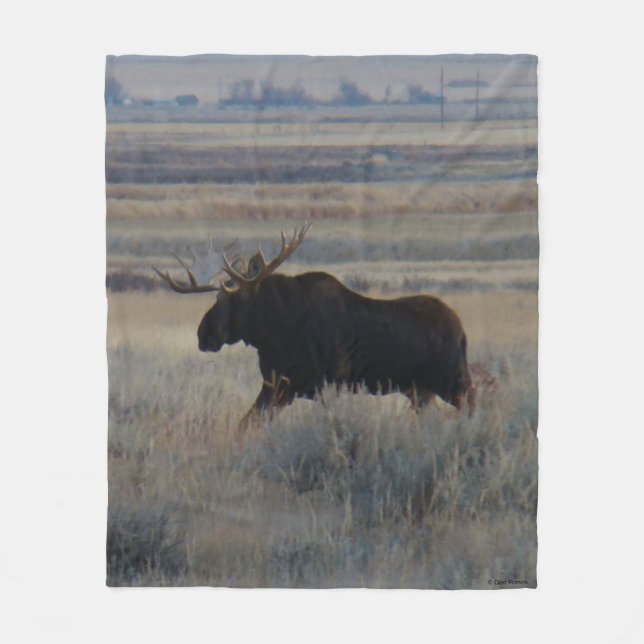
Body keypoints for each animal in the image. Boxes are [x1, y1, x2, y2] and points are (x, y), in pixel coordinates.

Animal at [154, 223, 474, 425]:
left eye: (234, 297)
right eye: (217, 297)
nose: (204, 335)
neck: (272, 333)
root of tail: (462, 332)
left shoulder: (323, 385)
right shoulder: (277, 386)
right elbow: (247, 423)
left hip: (452, 381)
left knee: (474, 405)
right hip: (420, 391)